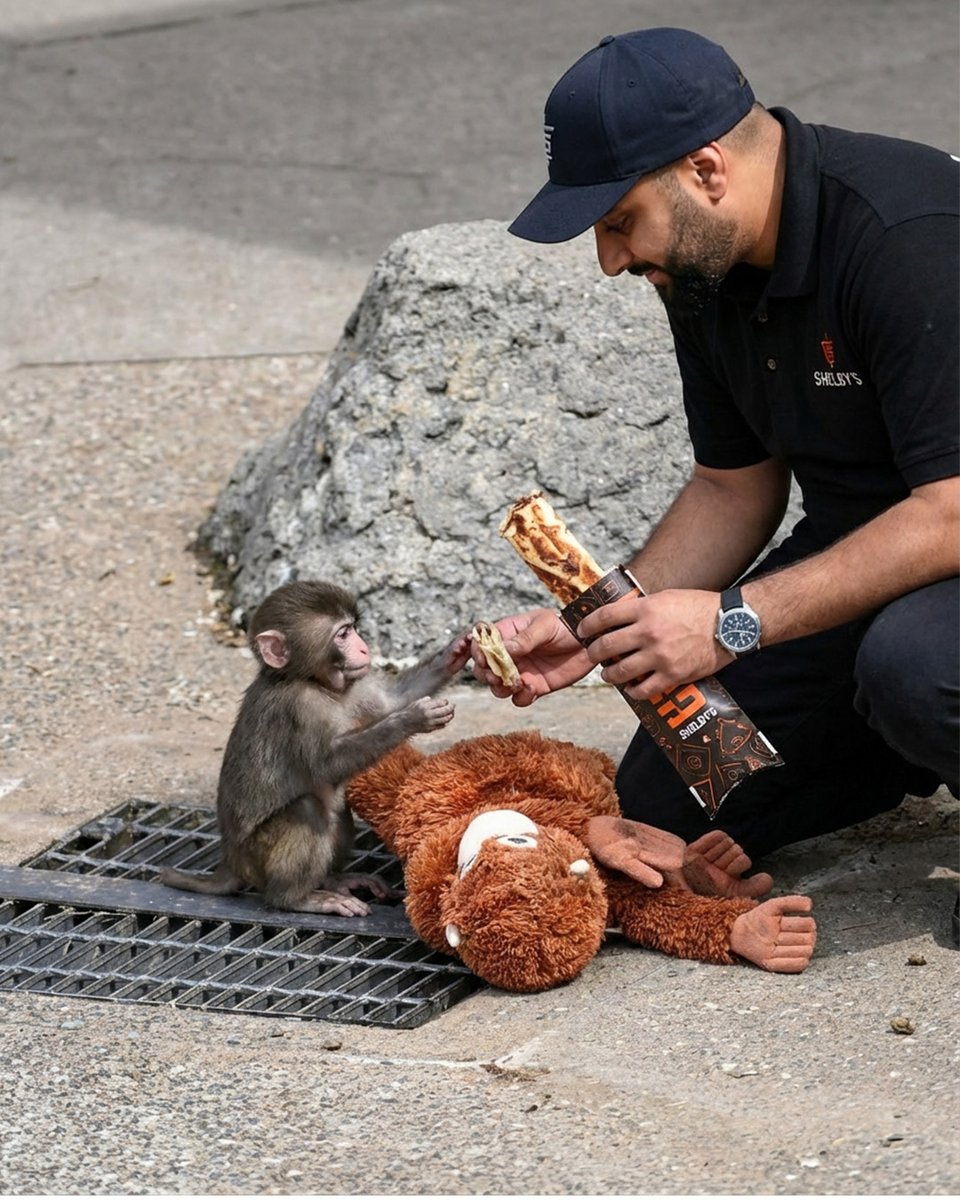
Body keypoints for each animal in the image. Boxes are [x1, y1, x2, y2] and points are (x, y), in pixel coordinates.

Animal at [159, 580, 472, 916]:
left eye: (353, 628)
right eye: (343, 634)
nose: (364, 648)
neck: (313, 682)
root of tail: (231, 861)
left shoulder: (354, 685)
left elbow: (392, 700)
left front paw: (456, 651)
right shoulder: (299, 708)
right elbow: (327, 766)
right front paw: (412, 718)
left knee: (337, 809)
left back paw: (334, 880)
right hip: (257, 859)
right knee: (307, 809)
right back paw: (298, 898)